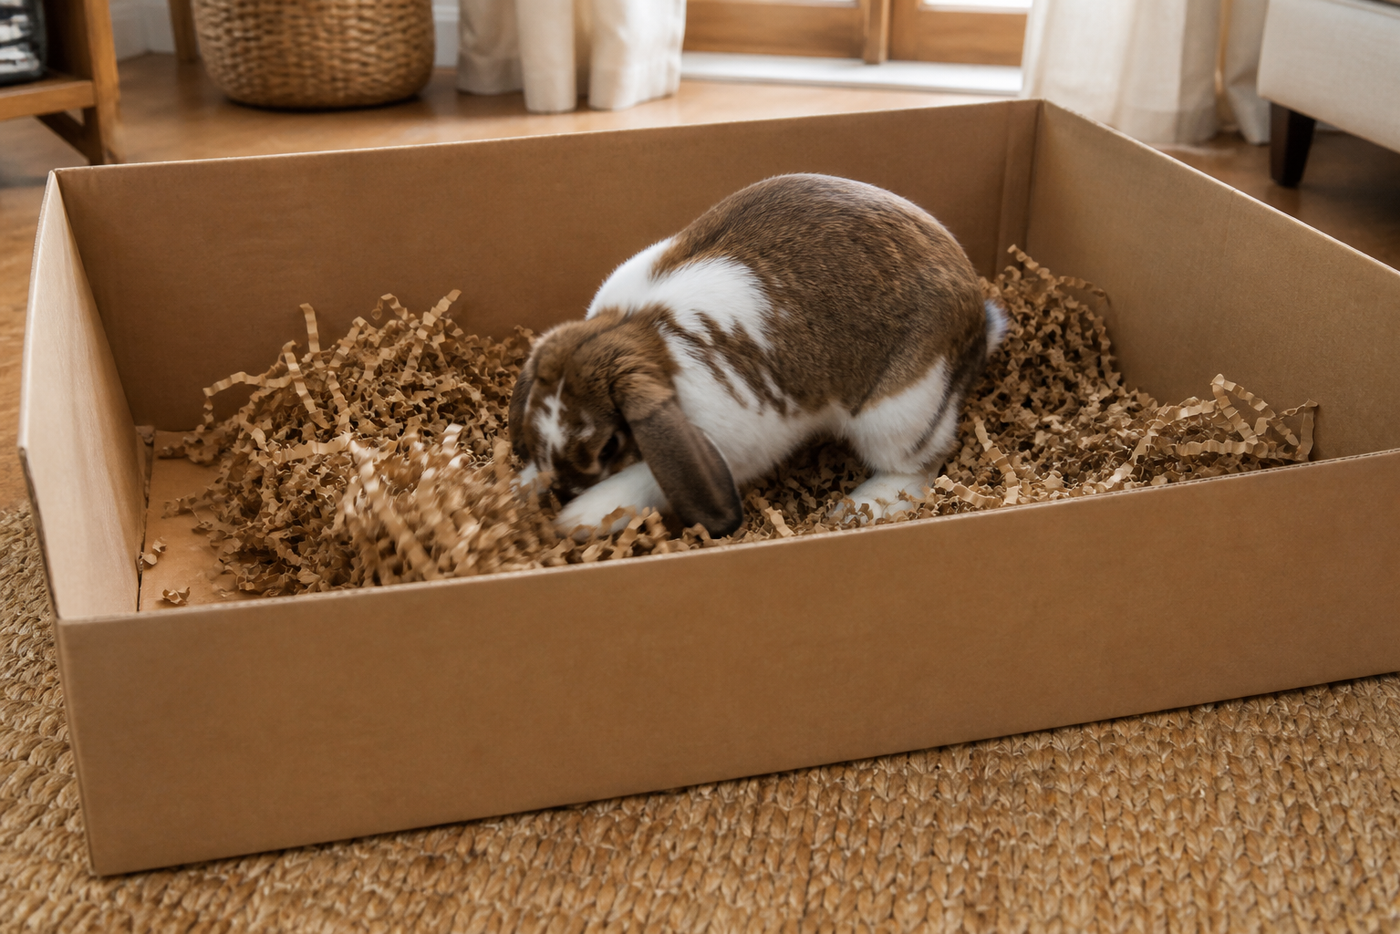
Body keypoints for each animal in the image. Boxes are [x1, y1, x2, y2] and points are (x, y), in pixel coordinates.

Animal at [508, 173, 1007, 540]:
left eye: (608, 446)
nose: (564, 490)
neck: (646, 335)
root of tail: (978, 317)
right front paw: (519, 487)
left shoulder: (724, 444)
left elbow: (644, 478)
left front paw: (579, 518)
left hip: (899, 413)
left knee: (920, 464)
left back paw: (857, 510)